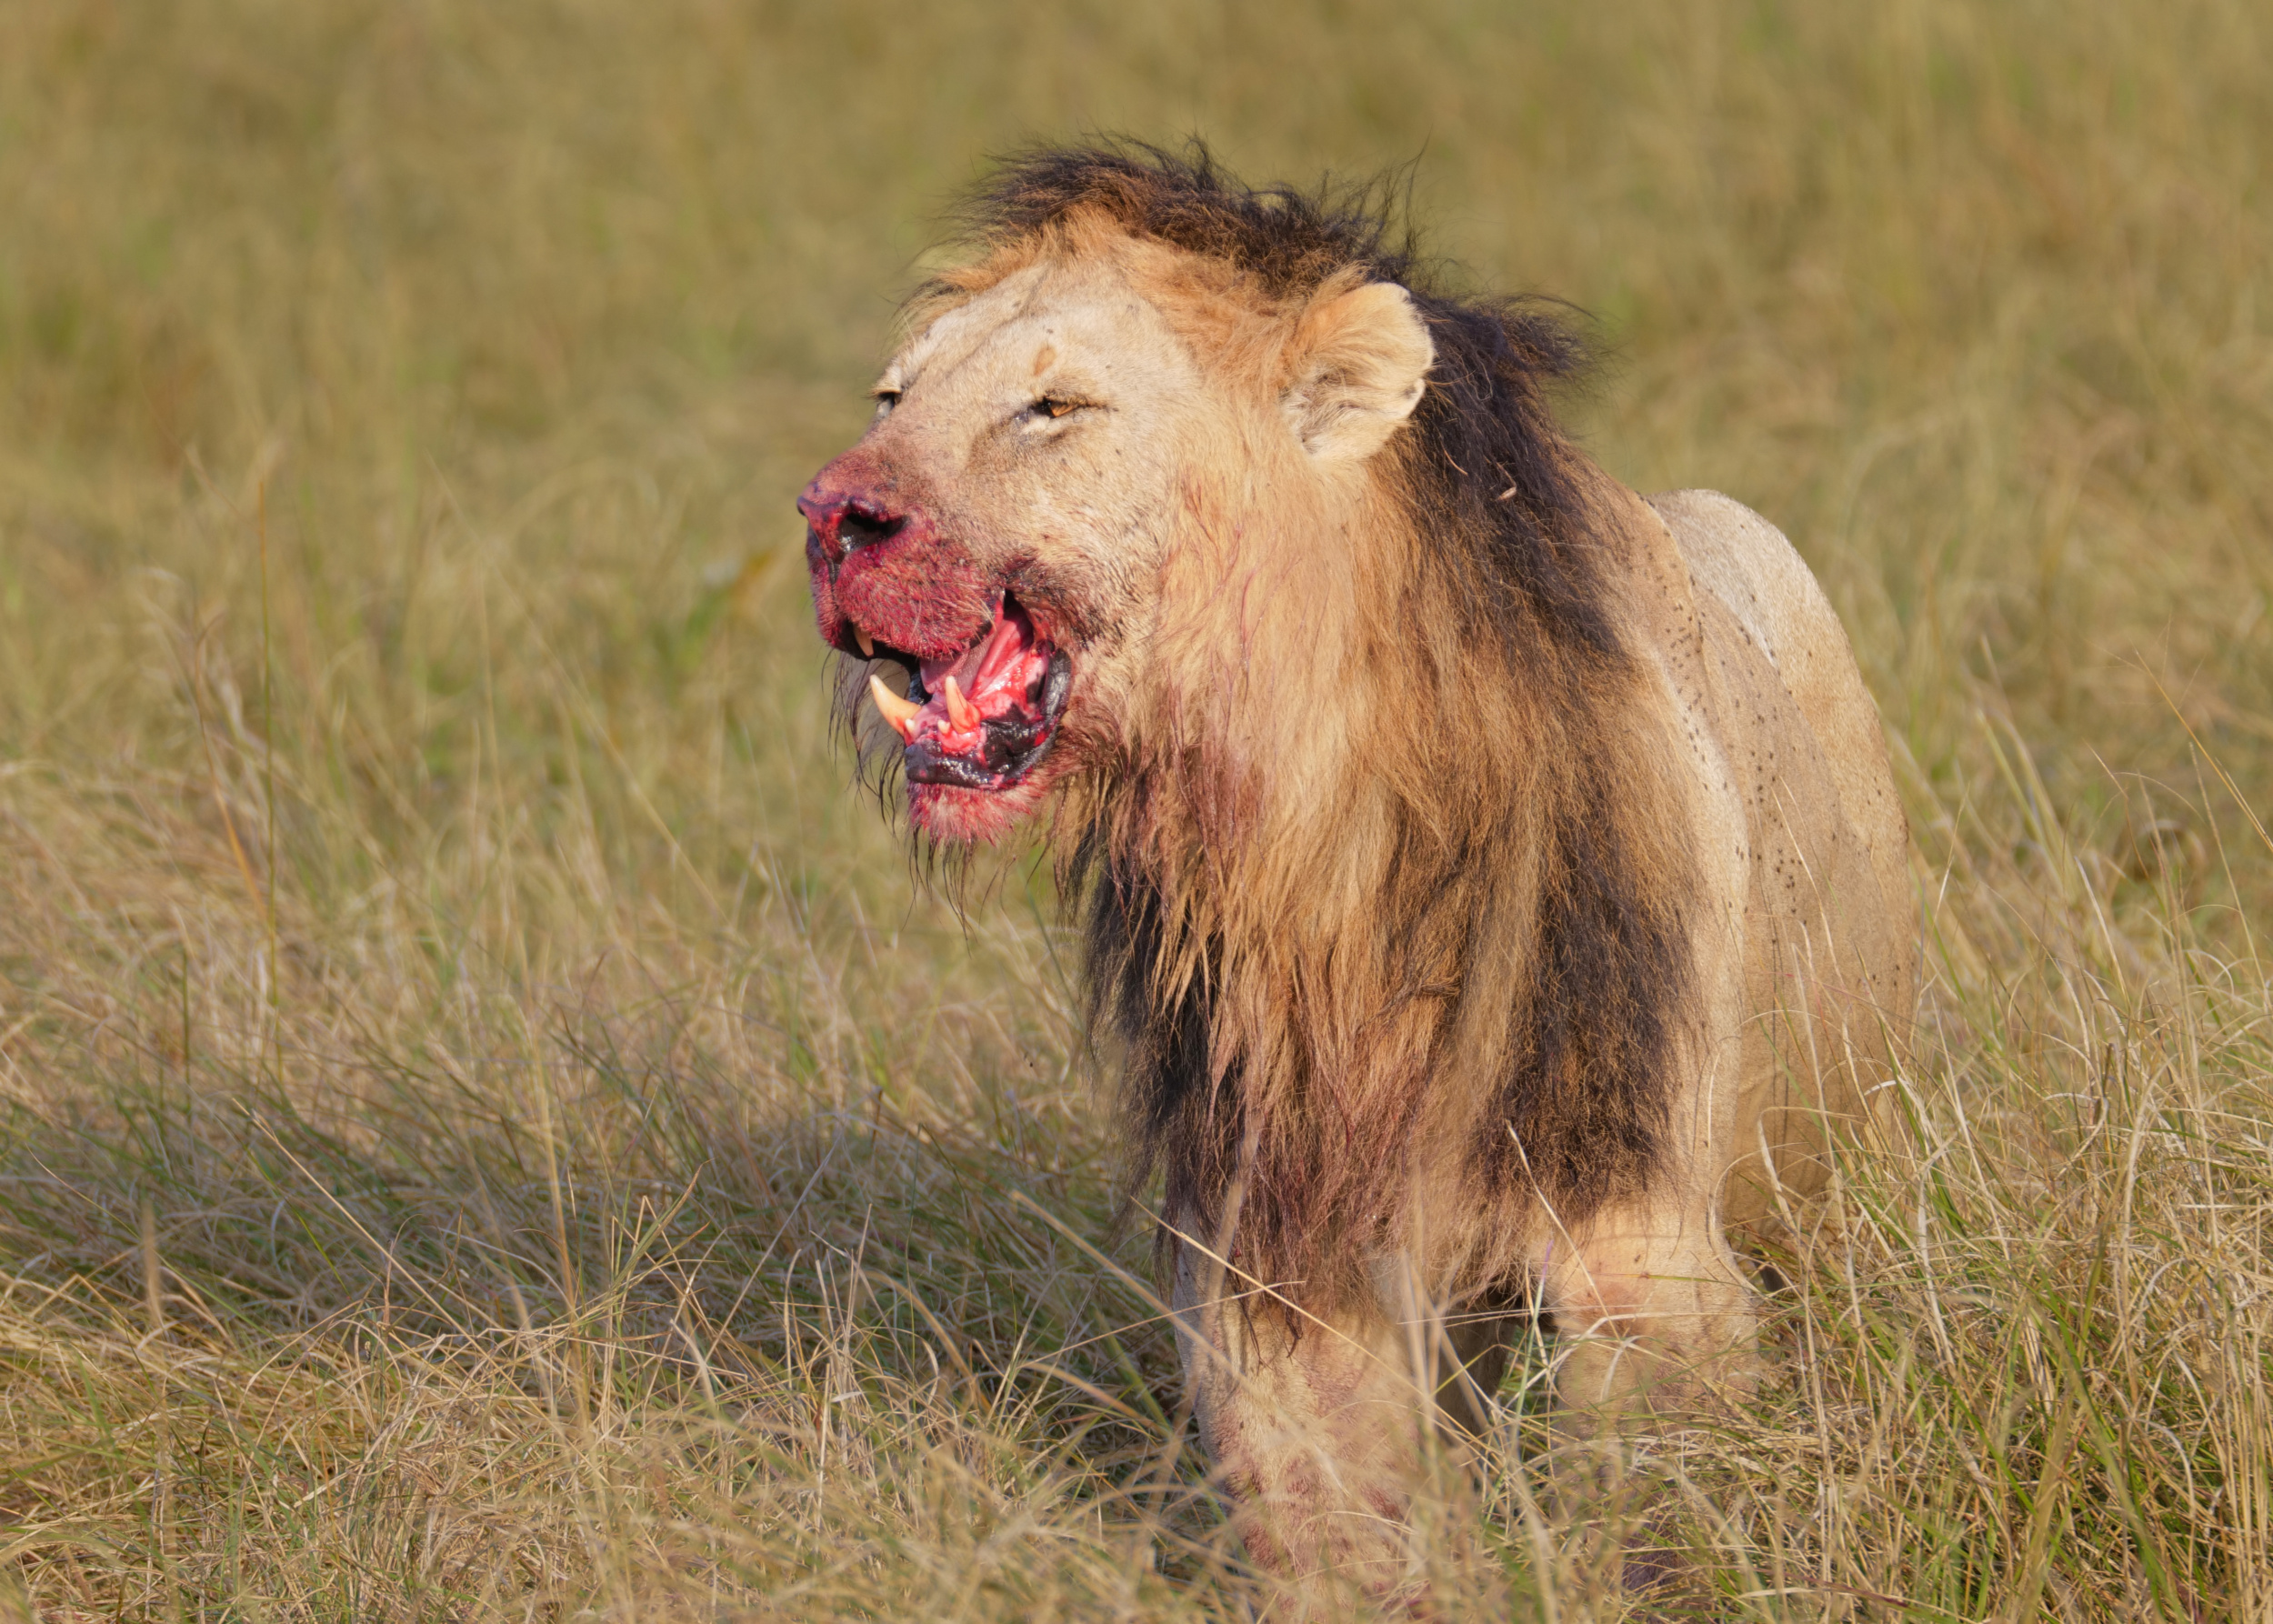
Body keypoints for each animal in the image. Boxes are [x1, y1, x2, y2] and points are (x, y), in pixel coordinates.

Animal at [798, 144, 1918, 1592]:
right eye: (893, 398)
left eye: (1053, 406)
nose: (833, 517)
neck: (1319, 846)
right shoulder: (1276, 1245)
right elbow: (1333, 1505)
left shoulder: (1638, 1227)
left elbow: (1660, 1501)